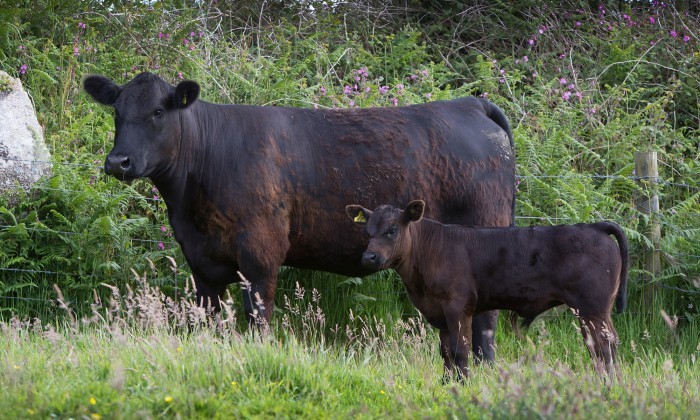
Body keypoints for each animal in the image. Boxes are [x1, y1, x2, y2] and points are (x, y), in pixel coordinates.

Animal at [85, 73, 516, 360]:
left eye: (158, 111)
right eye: (117, 112)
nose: (118, 161)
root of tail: (470, 104)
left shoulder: (260, 253)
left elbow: (258, 316)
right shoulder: (202, 261)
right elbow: (205, 319)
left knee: (486, 321)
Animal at [348, 200, 628, 378]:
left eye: (393, 230)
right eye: (367, 230)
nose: (369, 257)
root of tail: (593, 226)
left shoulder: (458, 306)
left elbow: (460, 351)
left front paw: (463, 385)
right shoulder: (439, 312)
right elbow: (445, 352)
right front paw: (446, 384)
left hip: (593, 308)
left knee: (604, 345)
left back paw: (607, 383)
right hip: (592, 311)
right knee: (601, 345)